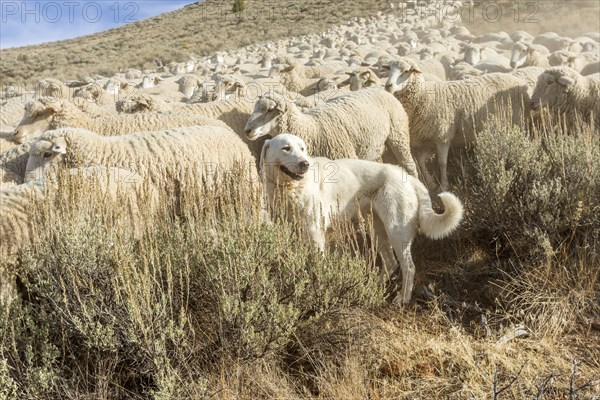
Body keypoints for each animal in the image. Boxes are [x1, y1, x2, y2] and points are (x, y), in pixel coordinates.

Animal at [241, 89, 414, 177]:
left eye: (270, 109)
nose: (247, 130)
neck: (311, 129)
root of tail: (380, 89)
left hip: (399, 136)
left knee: (409, 164)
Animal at [258, 134, 464, 304]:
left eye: (302, 149)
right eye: (286, 148)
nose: (305, 164)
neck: (288, 189)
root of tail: (409, 177)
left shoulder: (315, 233)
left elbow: (316, 266)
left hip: (396, 231)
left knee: (408, 266)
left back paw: (402, 299)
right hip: (378, 230)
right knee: (391, 262)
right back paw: (373, 286)